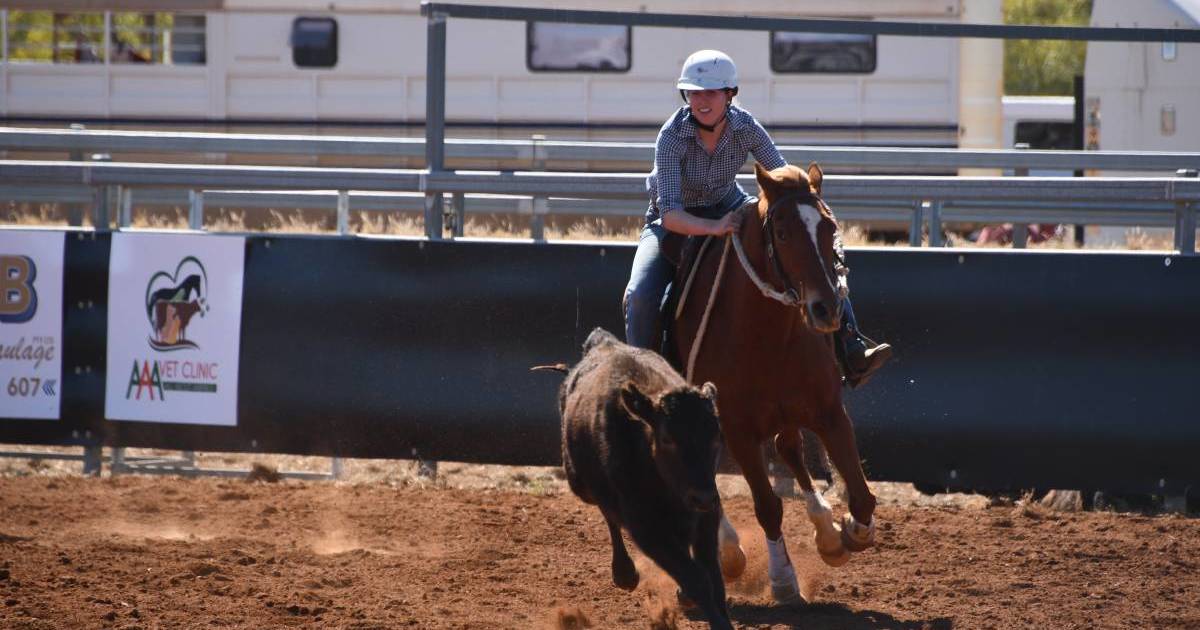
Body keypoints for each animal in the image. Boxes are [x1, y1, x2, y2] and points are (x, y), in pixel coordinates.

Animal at [672, 162, 878, 604]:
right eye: (782, 233)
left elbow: (860, 493)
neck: (768, 334)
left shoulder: (829, 412)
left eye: (829, 228)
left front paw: (850, 532)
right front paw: (783, 579)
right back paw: (727, 555)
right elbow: (767, 506)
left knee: (790, 450)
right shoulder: (738, 431)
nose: (827, 308)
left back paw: (826, 532)